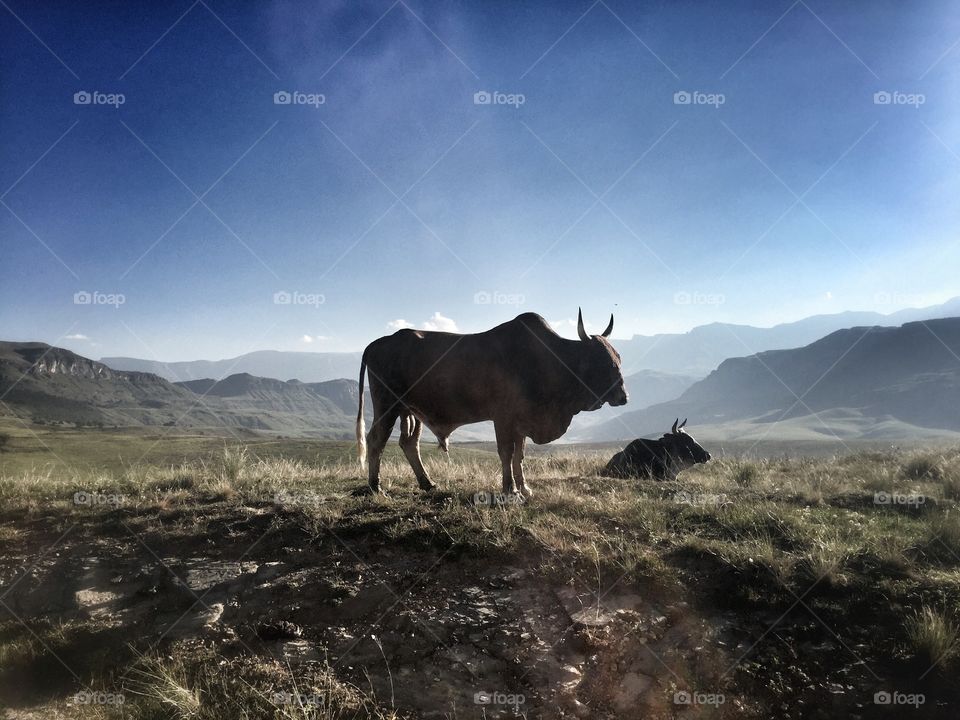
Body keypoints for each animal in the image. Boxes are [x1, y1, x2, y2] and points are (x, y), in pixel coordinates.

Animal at [356, 310, 628, 497]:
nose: (623, 397)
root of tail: (377, 343)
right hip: (387, 406)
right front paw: (510, 489)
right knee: (376, 441)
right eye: (603, 361)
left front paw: (525, 487)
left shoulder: (521, 422)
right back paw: (375, 487)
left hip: (410, 411)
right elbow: (506, 453)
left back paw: (427, 483)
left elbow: (519, 455)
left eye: (618, 358)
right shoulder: (503, 418)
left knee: (409, 443)